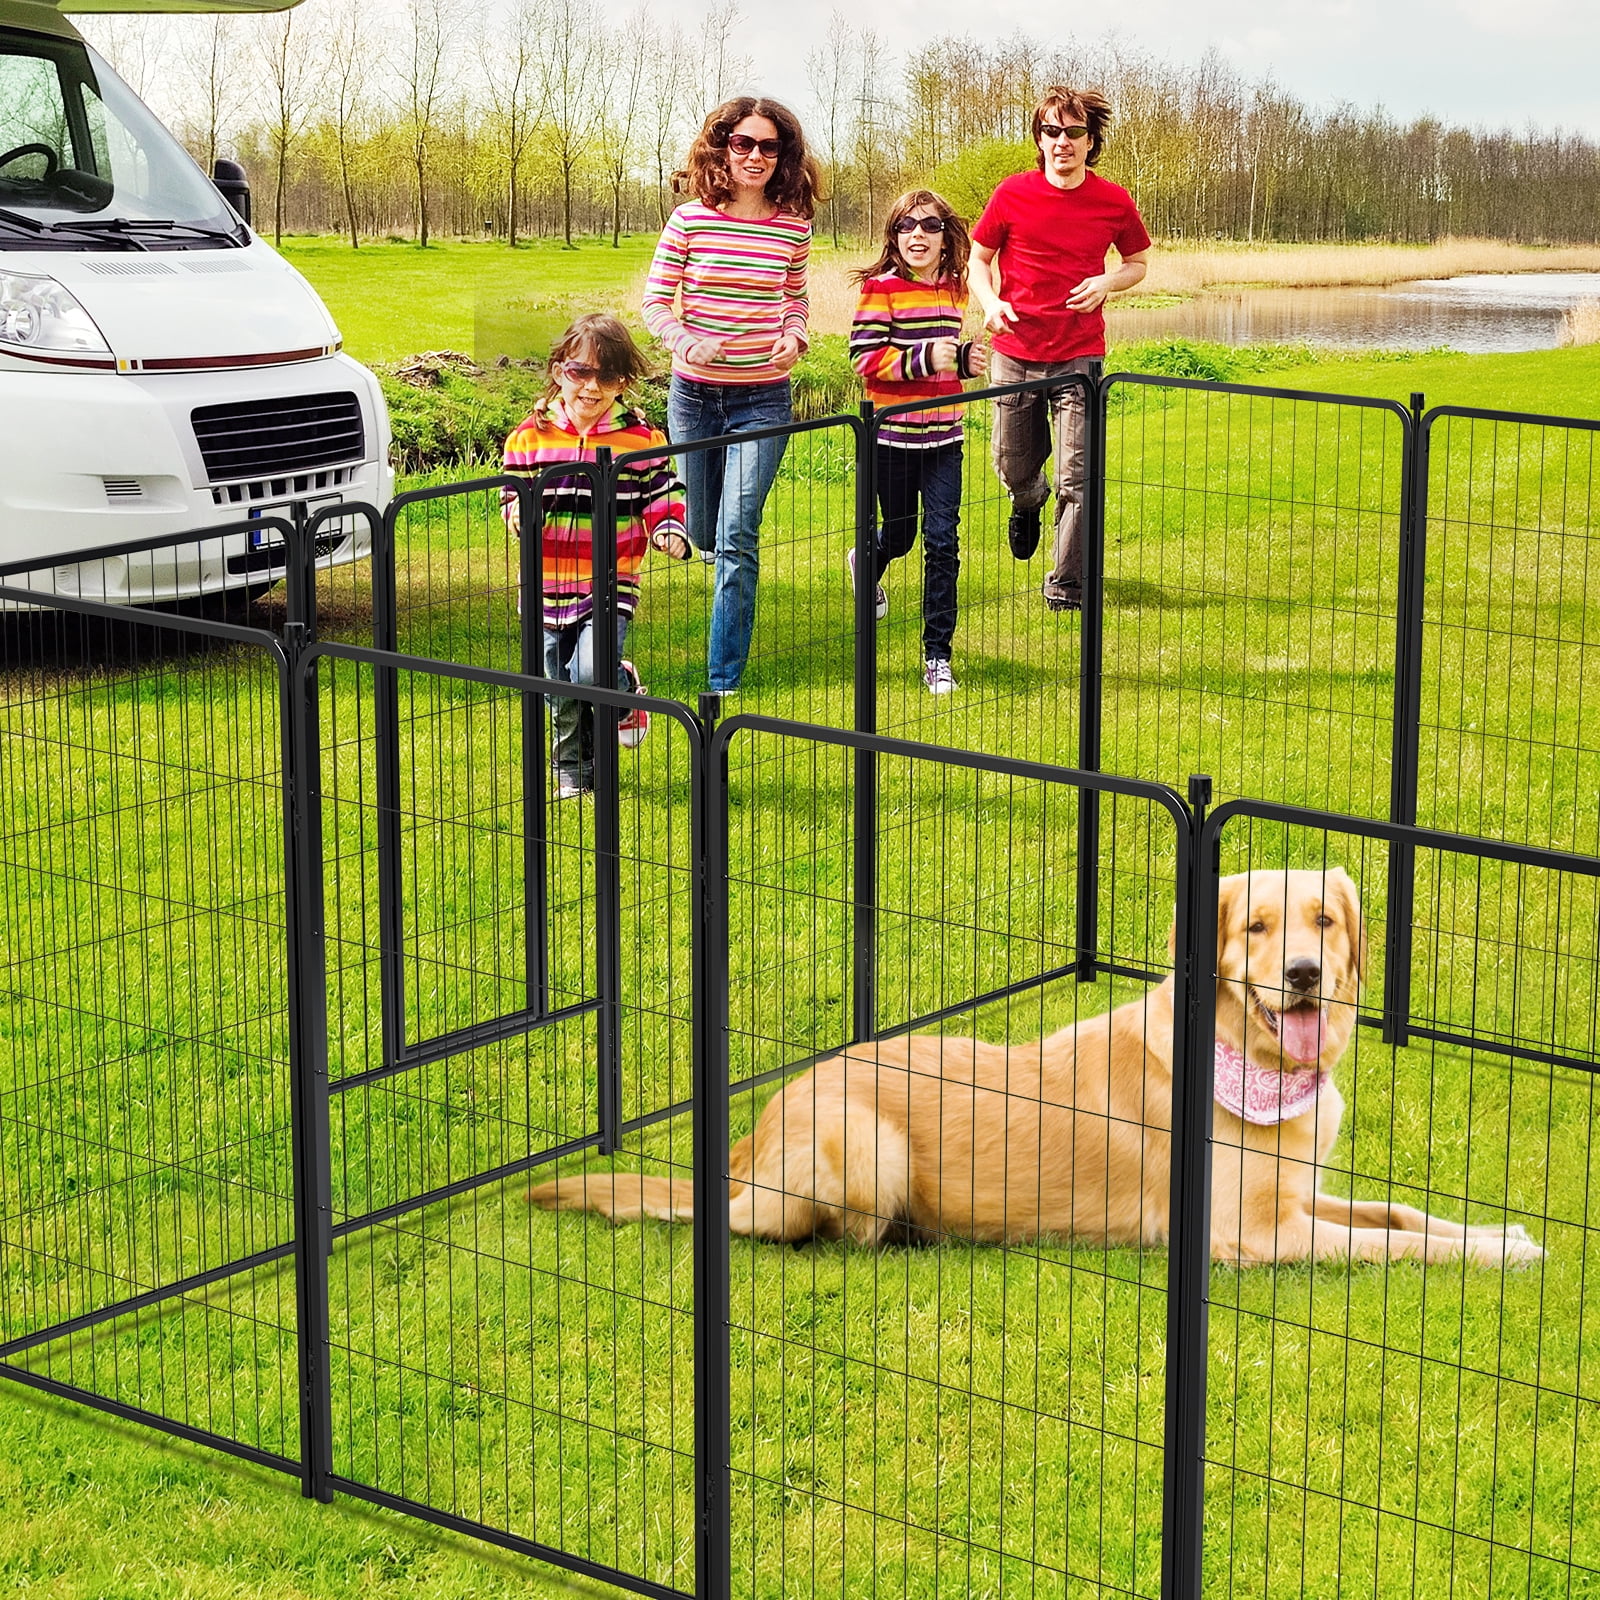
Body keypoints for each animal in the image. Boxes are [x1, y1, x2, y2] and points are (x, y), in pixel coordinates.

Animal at [531, 870, 1542, 1267]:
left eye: (1325, 921)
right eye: (1256, 927)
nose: (1301, 974)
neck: (1251, 1060)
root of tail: (749, 1139)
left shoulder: (1300, 1193)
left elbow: (1403, 1213)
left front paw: (1502, 1234)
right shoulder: (1253, 1236)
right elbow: (1396, 1245)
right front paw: (1492, 1259)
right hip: (862, 1145)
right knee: (775, 1228)